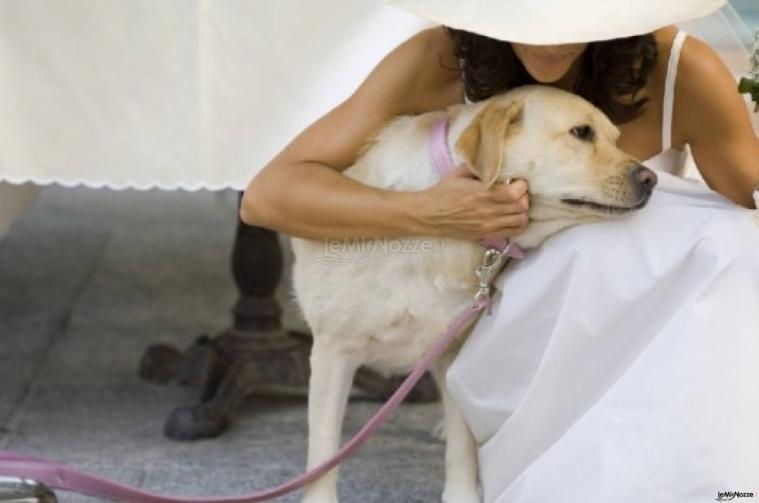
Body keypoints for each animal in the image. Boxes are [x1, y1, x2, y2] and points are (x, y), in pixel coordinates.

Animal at [290, 84, 660, 502]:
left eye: (616, 138)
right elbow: (323, 452)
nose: (651, 179)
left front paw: (461, 493)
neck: (434, 242)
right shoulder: (332, 353)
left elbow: (462, 446)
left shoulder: (454, 350)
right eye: (581, 133)